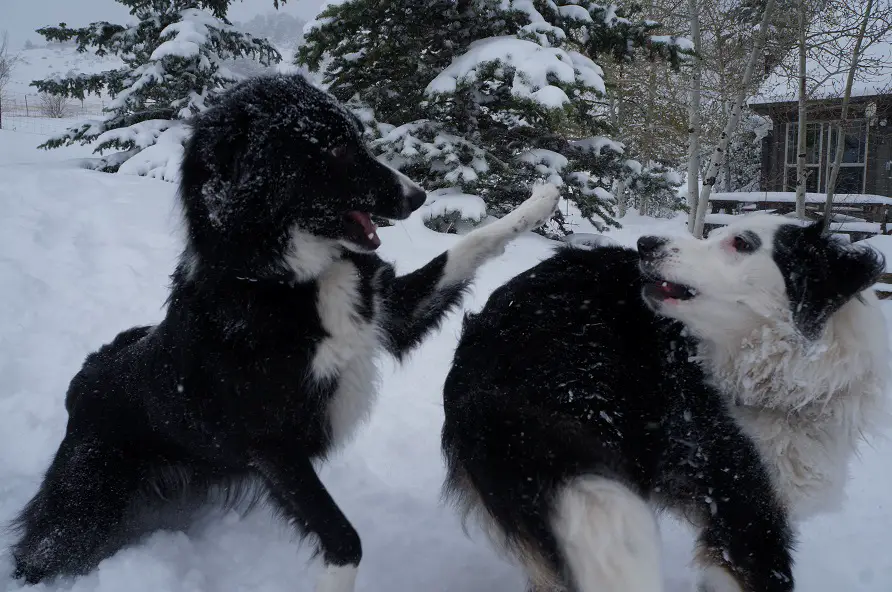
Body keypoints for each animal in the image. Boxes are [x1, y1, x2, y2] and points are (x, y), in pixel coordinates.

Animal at [8, 75, 556, 592]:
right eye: (335, 150)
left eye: (358, 138)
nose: (417, 195)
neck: (290, 281)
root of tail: (84, 378)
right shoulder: (272, 445)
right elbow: (344, 539)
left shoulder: (387, 314)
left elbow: (470, 245)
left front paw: (540, 201)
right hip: (82, 508)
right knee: (37, 552)